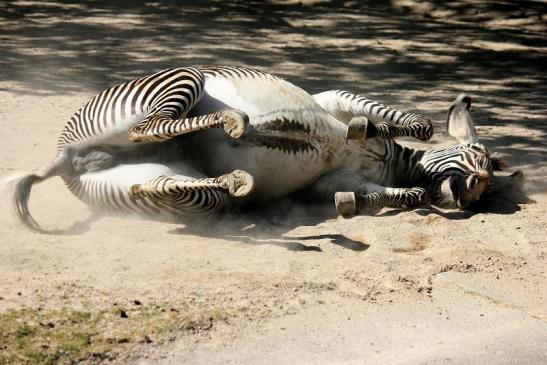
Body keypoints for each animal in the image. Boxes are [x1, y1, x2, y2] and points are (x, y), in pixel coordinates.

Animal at [8, 65, 506, 230]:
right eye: (477, 160)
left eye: (486, 186)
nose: (471, 192)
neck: (389, 164)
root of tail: (67, 159)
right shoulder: (335, 98)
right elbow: (413, 125)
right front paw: (365, 129)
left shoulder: (327, 183)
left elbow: (398, 194)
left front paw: (350, 205)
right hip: (184, 78)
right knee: (147, 127)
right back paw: (235, 122)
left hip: (161, 188)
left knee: (151, 185)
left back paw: (236, 180)